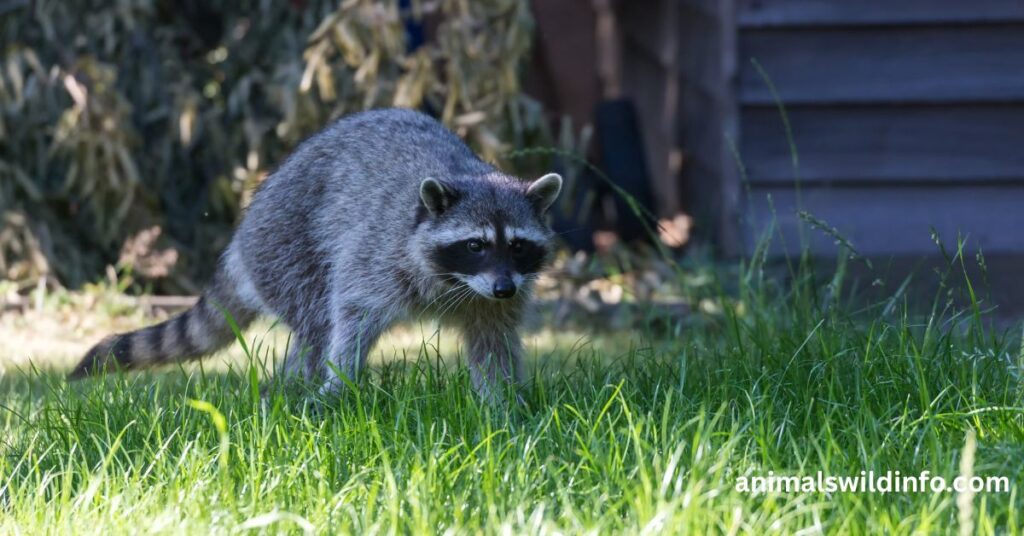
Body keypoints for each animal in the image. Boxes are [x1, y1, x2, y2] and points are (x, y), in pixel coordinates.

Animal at [69, 108, 562, 403]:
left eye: (518, 245)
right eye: (475, 245)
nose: (503, 287)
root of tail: (242, 236)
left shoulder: (494, 296)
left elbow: (492, 341)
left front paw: (502, 403)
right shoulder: (377, 254)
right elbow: (352, 316)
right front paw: (339, 382)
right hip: (286, 244)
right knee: (316, 320)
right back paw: (297, 387)